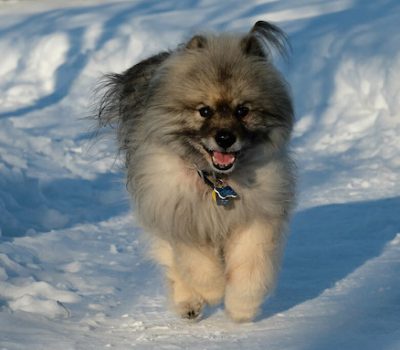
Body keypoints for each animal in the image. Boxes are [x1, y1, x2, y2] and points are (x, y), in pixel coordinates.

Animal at [95, 21, 296, 322]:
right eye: (204, 111)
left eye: (242, 110)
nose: (225, 138)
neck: (214, 180)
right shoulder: (181, 217)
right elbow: (197, 264)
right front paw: (212, 291)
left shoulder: (255, 216)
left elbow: (250, 266)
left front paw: (242, 307)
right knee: (173, 265)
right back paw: (189, 303)